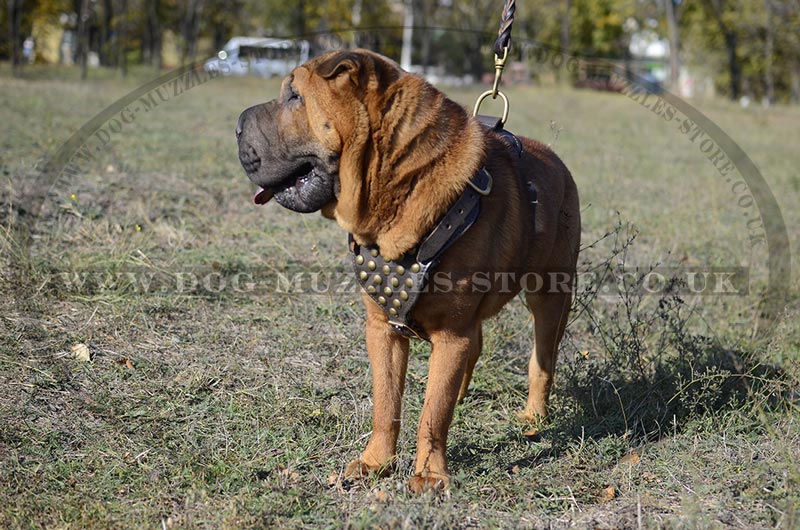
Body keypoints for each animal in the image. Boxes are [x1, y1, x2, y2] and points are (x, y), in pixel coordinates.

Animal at [234, 49, 580, 490]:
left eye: (295, 96)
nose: (237, 125)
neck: (398, 185)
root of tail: (557, 160)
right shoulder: (382, 329)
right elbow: (387, 404)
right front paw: (375, 463)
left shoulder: (451, 331)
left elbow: (432, 414)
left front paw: (430, 475)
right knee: (475, 350)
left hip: (550, 298)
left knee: (542, 361)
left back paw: (533, 415)